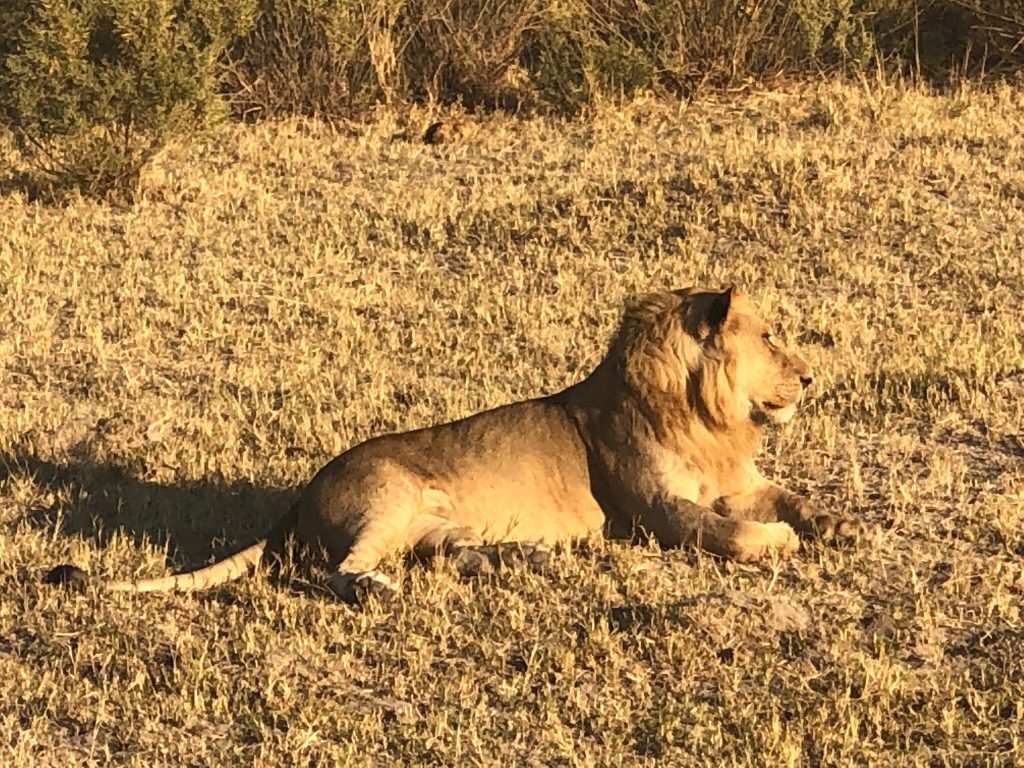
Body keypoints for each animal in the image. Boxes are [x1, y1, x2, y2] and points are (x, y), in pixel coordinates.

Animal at [44, 286, 862, 602]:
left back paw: (520, 558)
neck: (705, 416)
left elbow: (789, 493)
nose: (812, 377)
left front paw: (837, 523)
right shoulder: (656, 511)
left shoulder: (738, 480)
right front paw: (778, 542)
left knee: (448, 554)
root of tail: (299, 500)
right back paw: (376, 589)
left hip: (431, 523)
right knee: (330, 572)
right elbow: (723, 531)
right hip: (389, 496)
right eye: (770, 337)